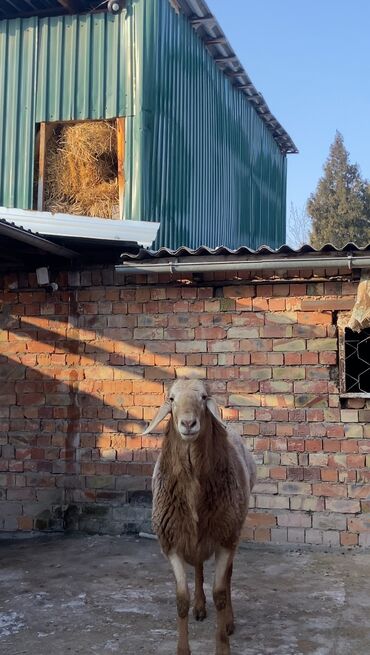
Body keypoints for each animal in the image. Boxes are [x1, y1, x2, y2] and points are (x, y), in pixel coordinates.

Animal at [142, 380, 258, 655]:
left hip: (232, 530)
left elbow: (220, 594)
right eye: (171, 399)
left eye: (204, 397)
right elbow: (181, 599)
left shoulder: (225, 539)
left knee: (227, 577)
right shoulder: (171, 543)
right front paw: (183, 648)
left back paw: (228, 621)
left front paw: (223, 645)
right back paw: (199, 606)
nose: (188, 423)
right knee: (198, 567)